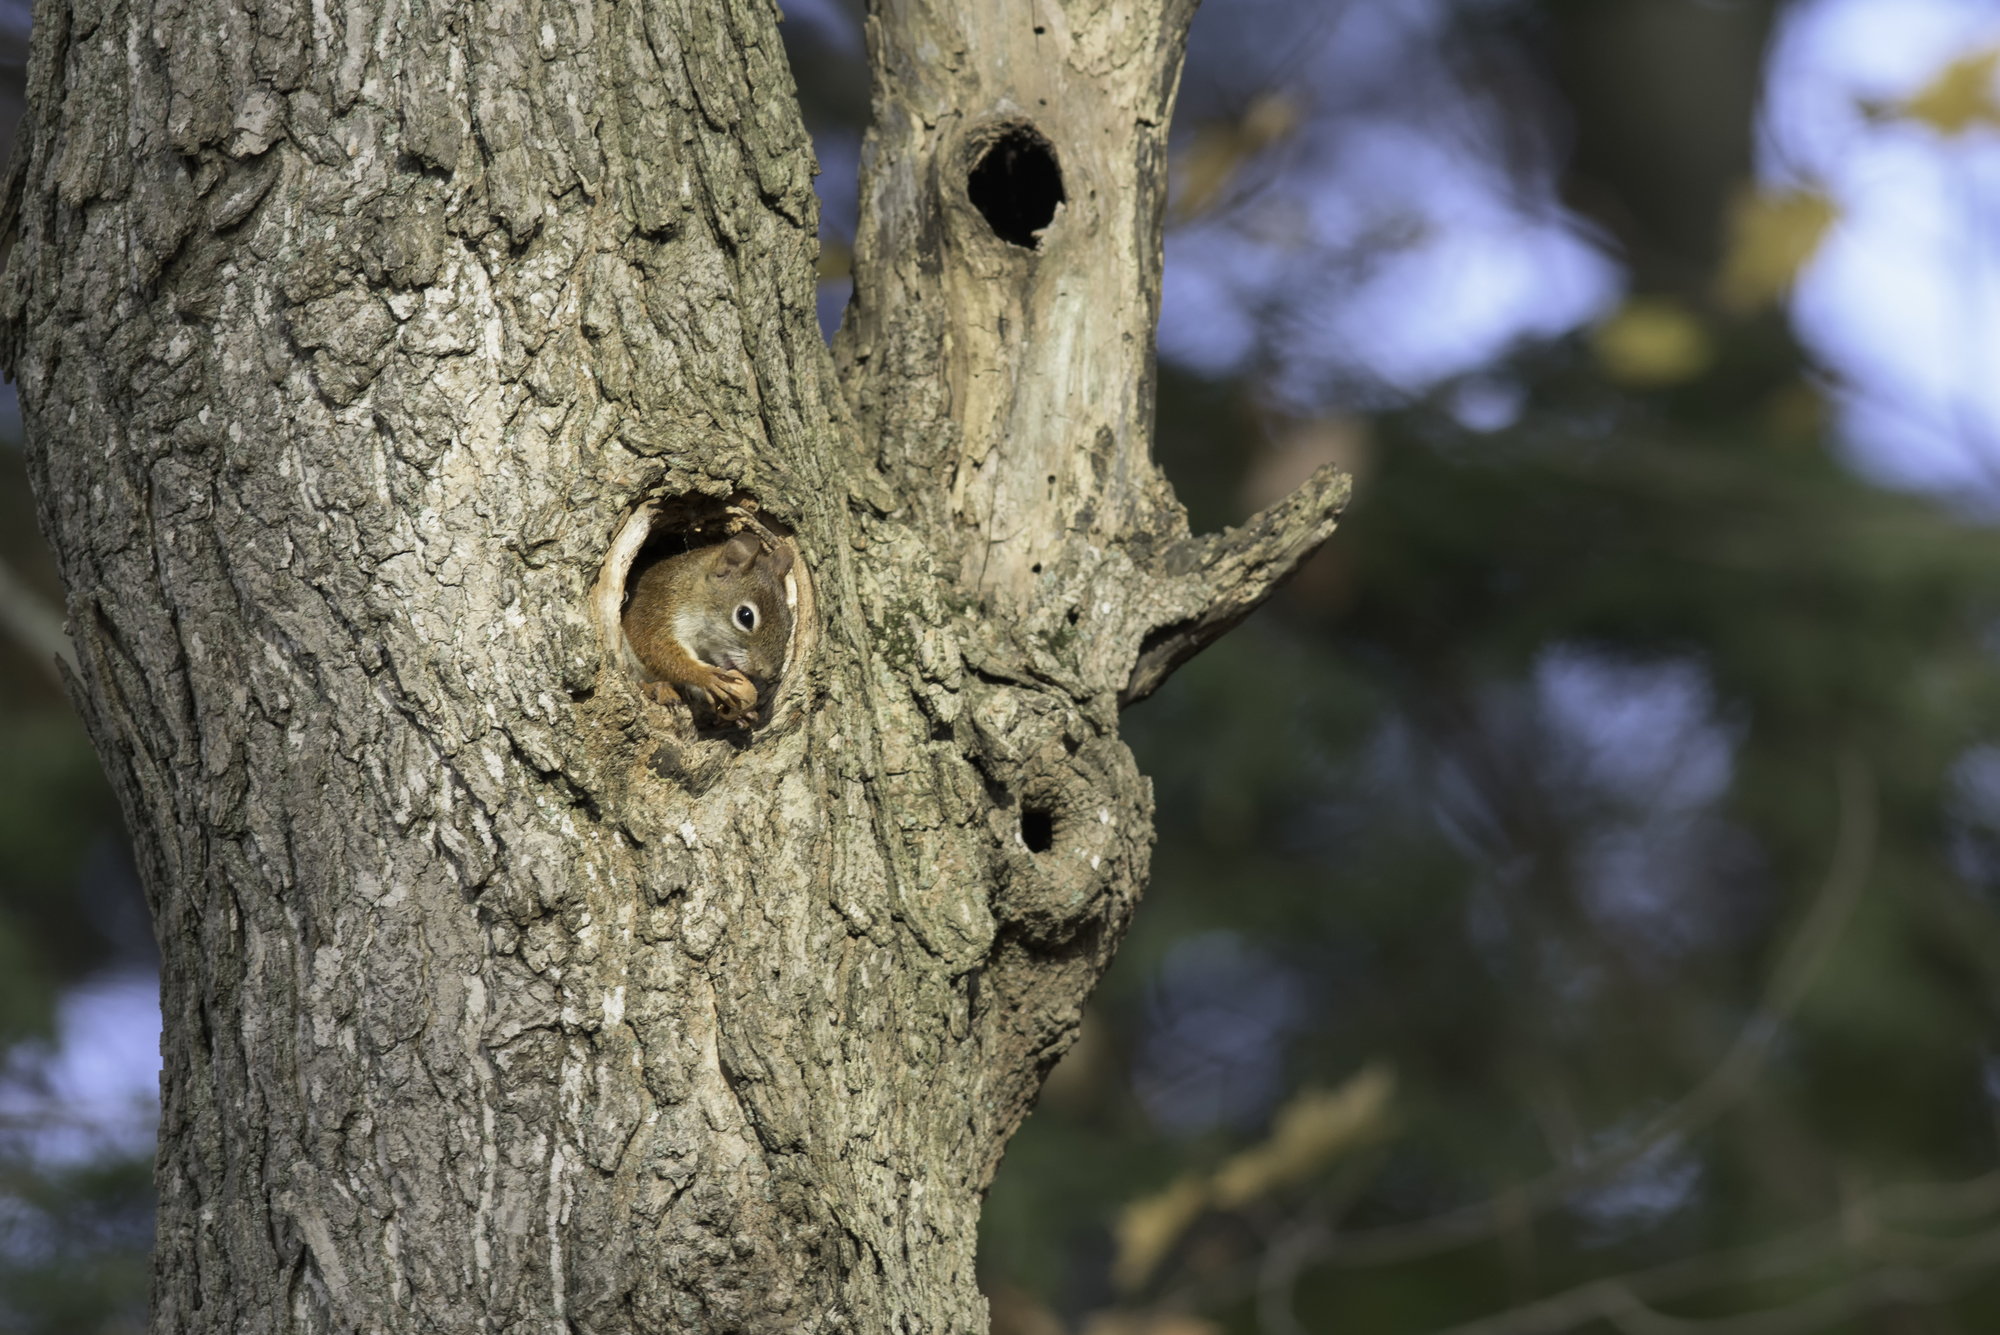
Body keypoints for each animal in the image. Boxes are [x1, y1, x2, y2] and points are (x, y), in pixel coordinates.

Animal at [622, 530, 796, 725]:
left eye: (789, 622)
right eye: (745, 616)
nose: (768, 673)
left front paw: (741, 713)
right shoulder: (656, 613)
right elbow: (657, 650)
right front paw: (707, 677)